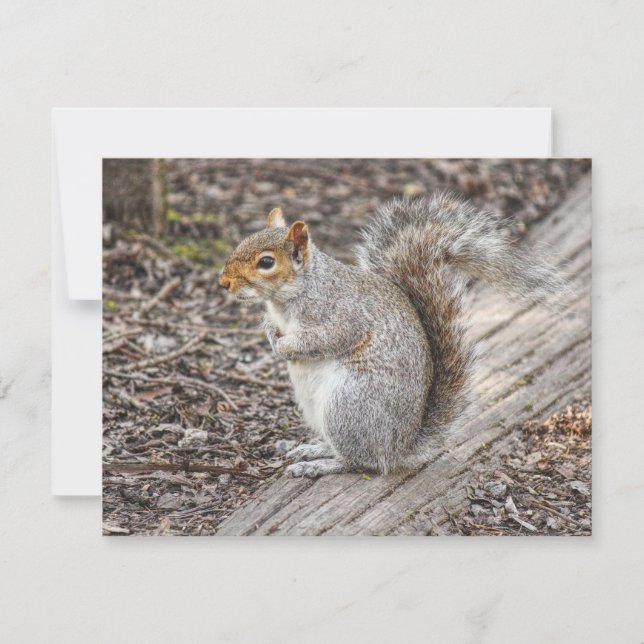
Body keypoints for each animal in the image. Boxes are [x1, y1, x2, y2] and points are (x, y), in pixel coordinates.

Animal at [218, 197, 567, 478]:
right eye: (242, 242)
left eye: (266, 262)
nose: (224, 282)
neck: (287, 299)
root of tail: (401, 447)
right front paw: (270, 334)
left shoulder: (342, 316)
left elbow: (326, 339)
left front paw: (285, 346)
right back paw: (313, 448)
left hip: (350, 405)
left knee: (364, 461)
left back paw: (320, 465)